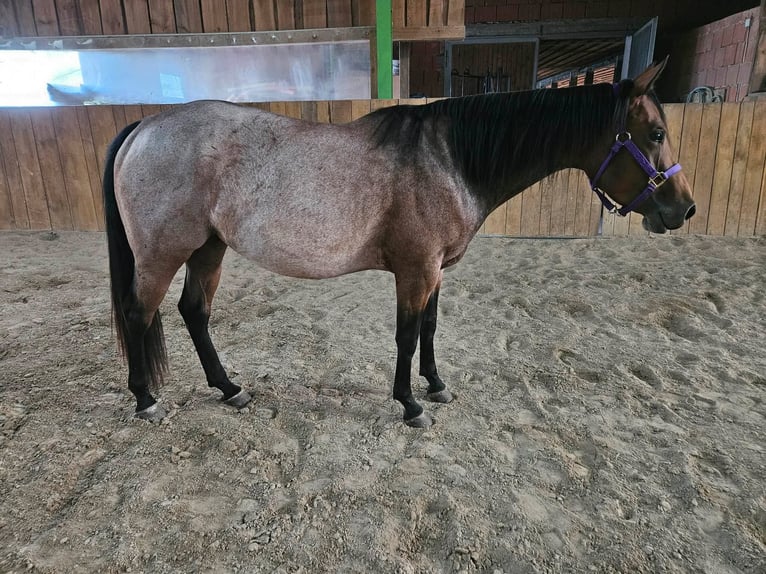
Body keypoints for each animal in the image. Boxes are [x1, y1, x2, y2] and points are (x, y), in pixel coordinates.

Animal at [104, 58, 695, 428]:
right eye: (656, 134)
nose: (684, 209)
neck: (448, 159)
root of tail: (144, 127)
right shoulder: (416, 270)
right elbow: (407, 336)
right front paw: (411, 404)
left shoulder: (434, 271)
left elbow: (429, 330)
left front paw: (435, 385)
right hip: (163, 253)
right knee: (138, 313)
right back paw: (146, 400)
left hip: (210, 248)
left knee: (193, 311)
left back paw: (230, 389)